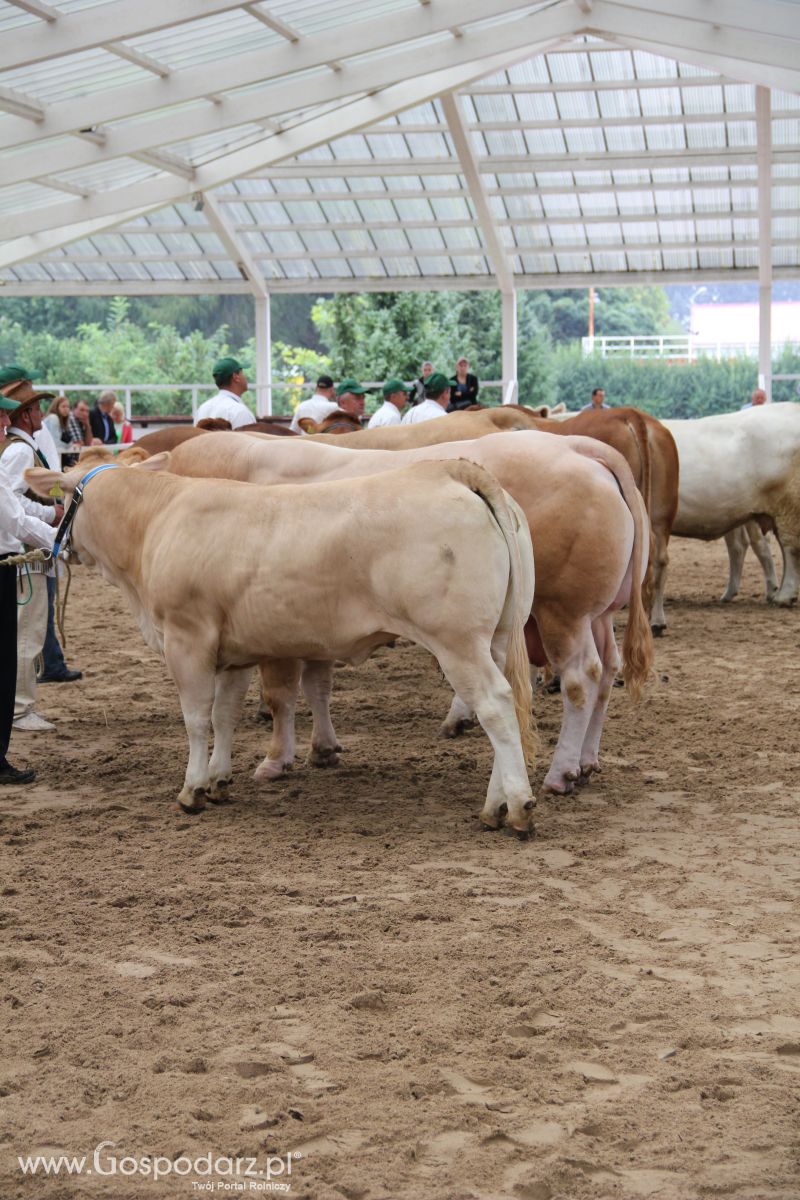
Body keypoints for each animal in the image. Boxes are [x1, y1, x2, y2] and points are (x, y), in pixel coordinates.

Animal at [28, 453, 537, 830]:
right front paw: (219, 780)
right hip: (496, 636)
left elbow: (196, 719)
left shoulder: (187, 639)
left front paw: (192, 790)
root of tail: (450, 469)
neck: (156, 523)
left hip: (457, 640)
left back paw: (517, 807)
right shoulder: (232, 654)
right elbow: (225, 716)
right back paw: (494, 806)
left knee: (494, 703)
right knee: (505, 707)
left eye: (61, 501)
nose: (56, 544)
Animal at [165, 427, 652, 792]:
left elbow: (281, 695)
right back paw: (585, 761)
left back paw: (560, 771)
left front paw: (274, 759)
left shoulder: (276, 629)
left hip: (562, 613)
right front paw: (323, 747)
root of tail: (579, 446)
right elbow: (318, 686)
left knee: (580, 679)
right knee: (607, 672)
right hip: (597, 615)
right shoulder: (315, 624)